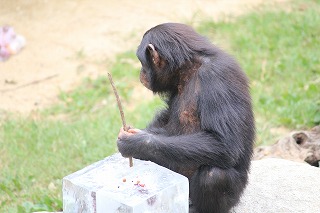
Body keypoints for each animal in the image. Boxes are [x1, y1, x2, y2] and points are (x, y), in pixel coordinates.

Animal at [117, 22, 255, 212]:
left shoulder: (217, 77)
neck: (189, 68)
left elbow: (225, 142)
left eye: (141, 61)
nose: (141, 72)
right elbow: (166, 117)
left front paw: (136, 143)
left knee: (214, 175)